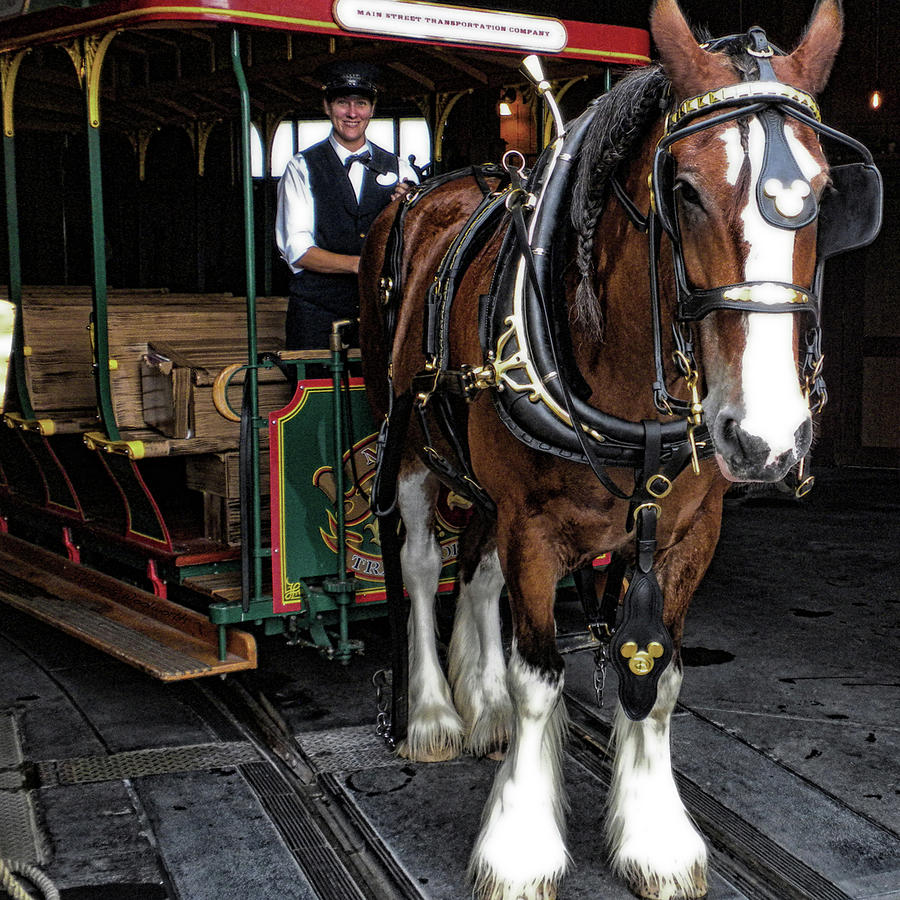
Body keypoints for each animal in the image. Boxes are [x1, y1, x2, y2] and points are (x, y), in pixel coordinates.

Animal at [358, 0, 880, 896]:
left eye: (821, 193)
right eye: (684, 190)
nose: (766, 437)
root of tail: (442, 188)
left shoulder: (688, 532)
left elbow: (657, 677)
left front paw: (655, 837)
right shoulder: (534, 525)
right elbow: (541, 678)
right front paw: (521, 843)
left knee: (478, 569)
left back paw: (481, 707)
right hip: (416, 445)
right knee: (426, 565)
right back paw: (431, 713)